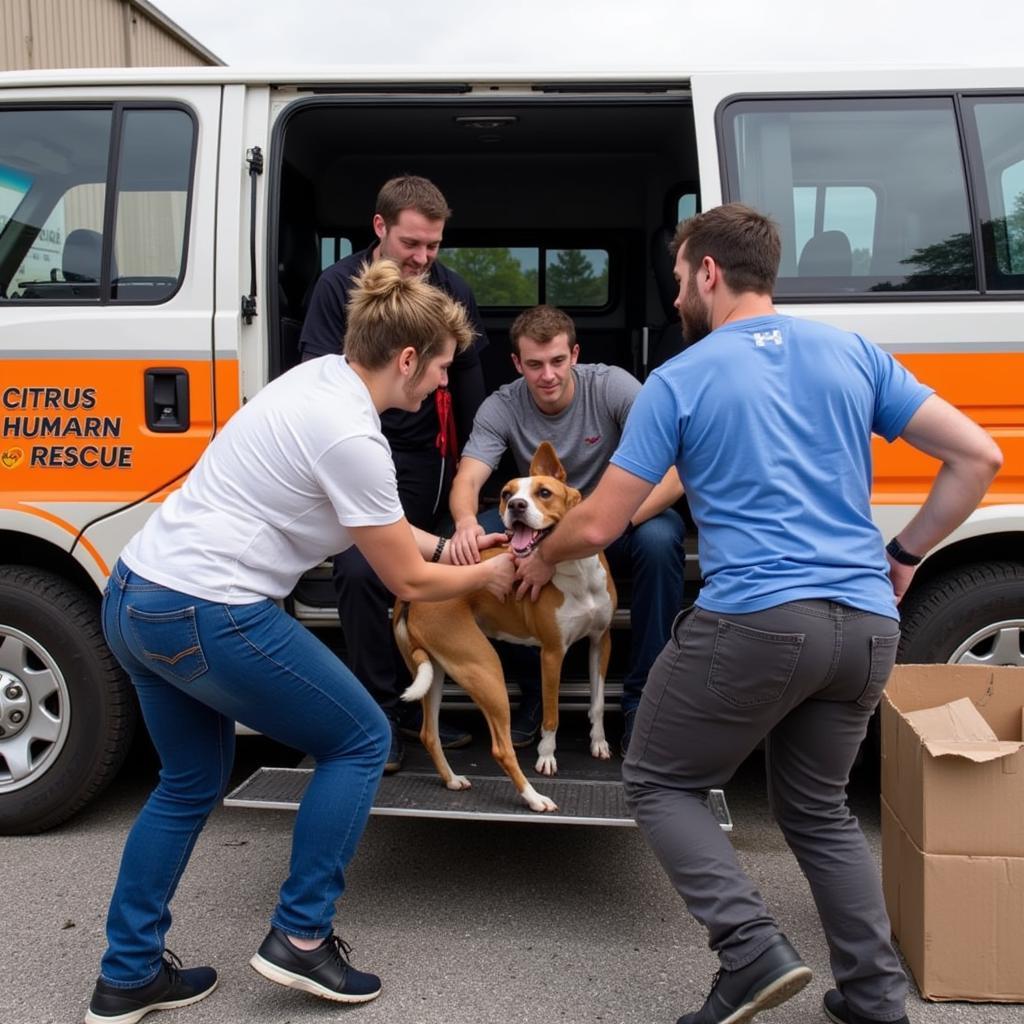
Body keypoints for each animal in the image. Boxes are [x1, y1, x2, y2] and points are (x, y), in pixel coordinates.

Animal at [391, 444, 614, 811]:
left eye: (544, 493)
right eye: (507, 494)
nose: (516, 506)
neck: (575, 570)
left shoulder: (601, 641)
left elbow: (596, 701)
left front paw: (598, 742)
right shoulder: (552, 654)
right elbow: (551, 714)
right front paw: (547, 757)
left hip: (437, 669)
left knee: (429, 733)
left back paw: (452, 780)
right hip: (485, 669)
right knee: (501, 748)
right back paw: (534, 798)